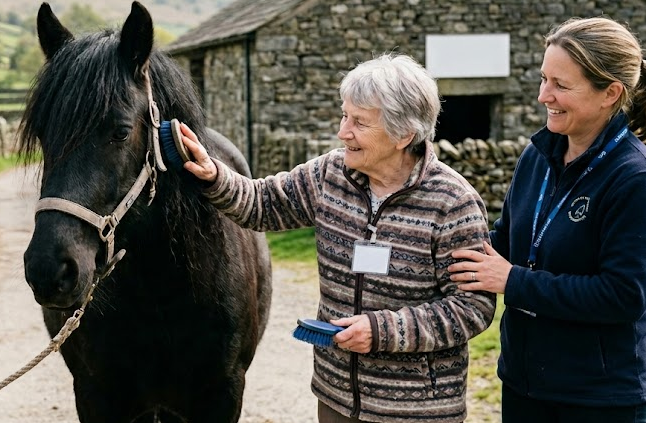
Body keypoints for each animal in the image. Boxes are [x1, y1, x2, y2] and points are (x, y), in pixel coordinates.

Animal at [17, 2, 272, 422]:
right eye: (41, 135)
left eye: (120, 132)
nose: (49, 269)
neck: (161, 290)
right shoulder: (94, 395)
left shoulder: (224, 394)